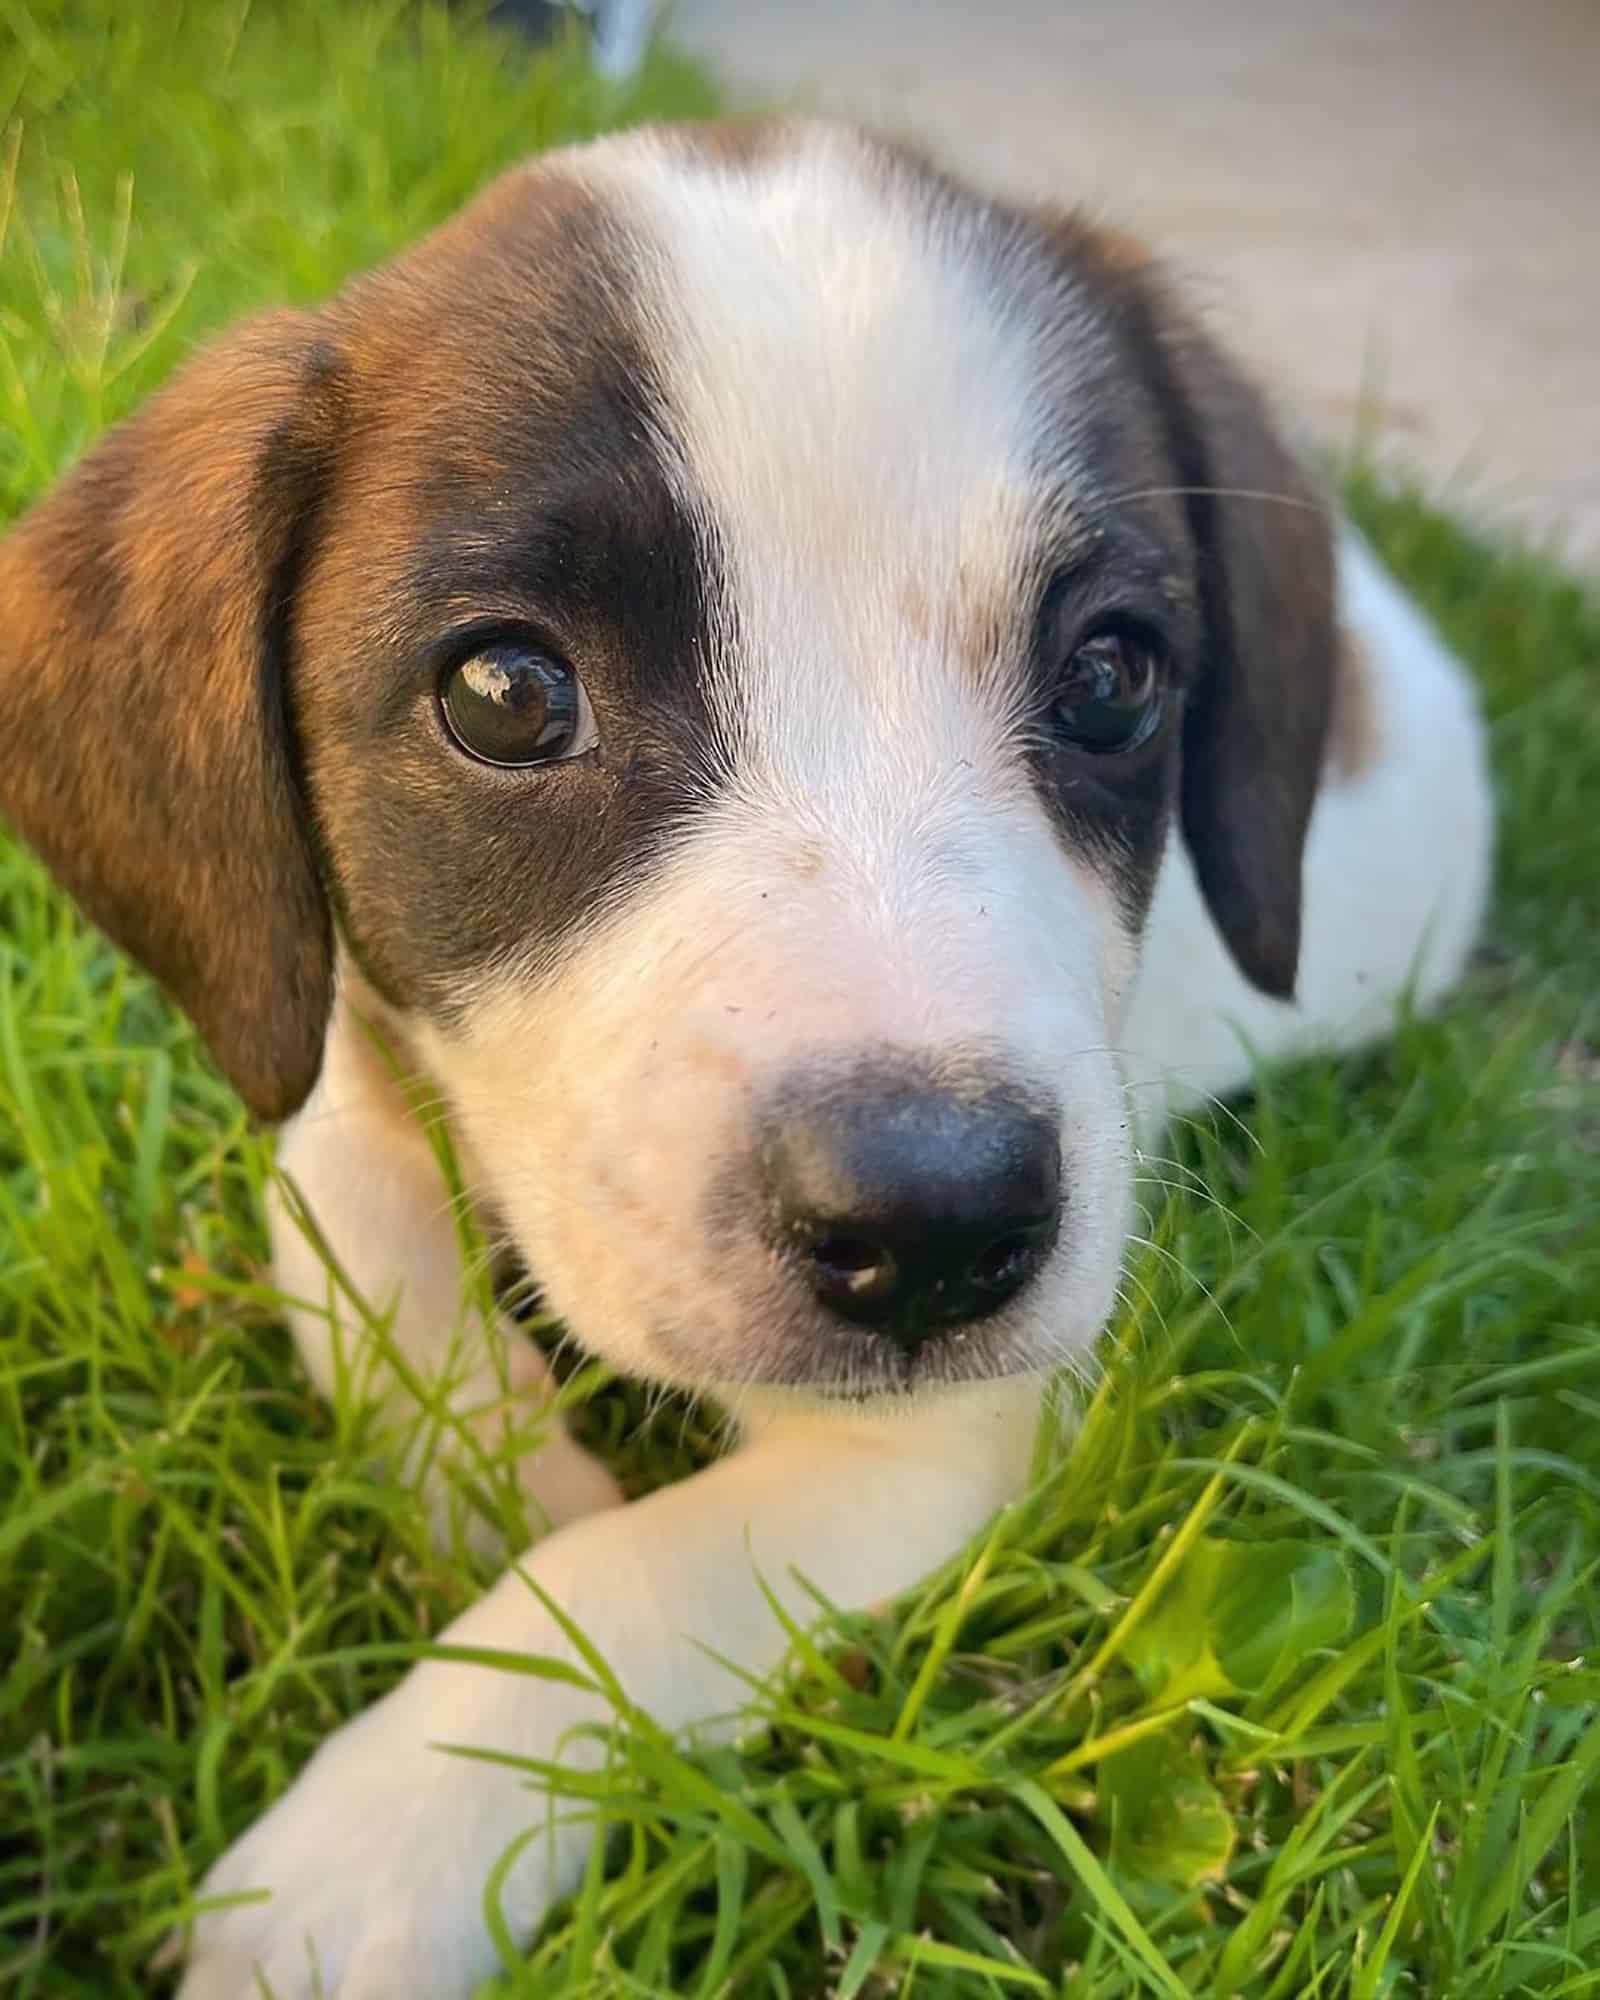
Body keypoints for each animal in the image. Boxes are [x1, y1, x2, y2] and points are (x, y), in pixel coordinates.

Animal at [0, 117, 1488, 1992]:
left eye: (1110, 675)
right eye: (504, 693)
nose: (937, 1228)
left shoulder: (939, 1441)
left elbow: (643, 1573)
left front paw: (378, 1845)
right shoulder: (335, 1072)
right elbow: (357, 1239)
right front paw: (503, 1484)